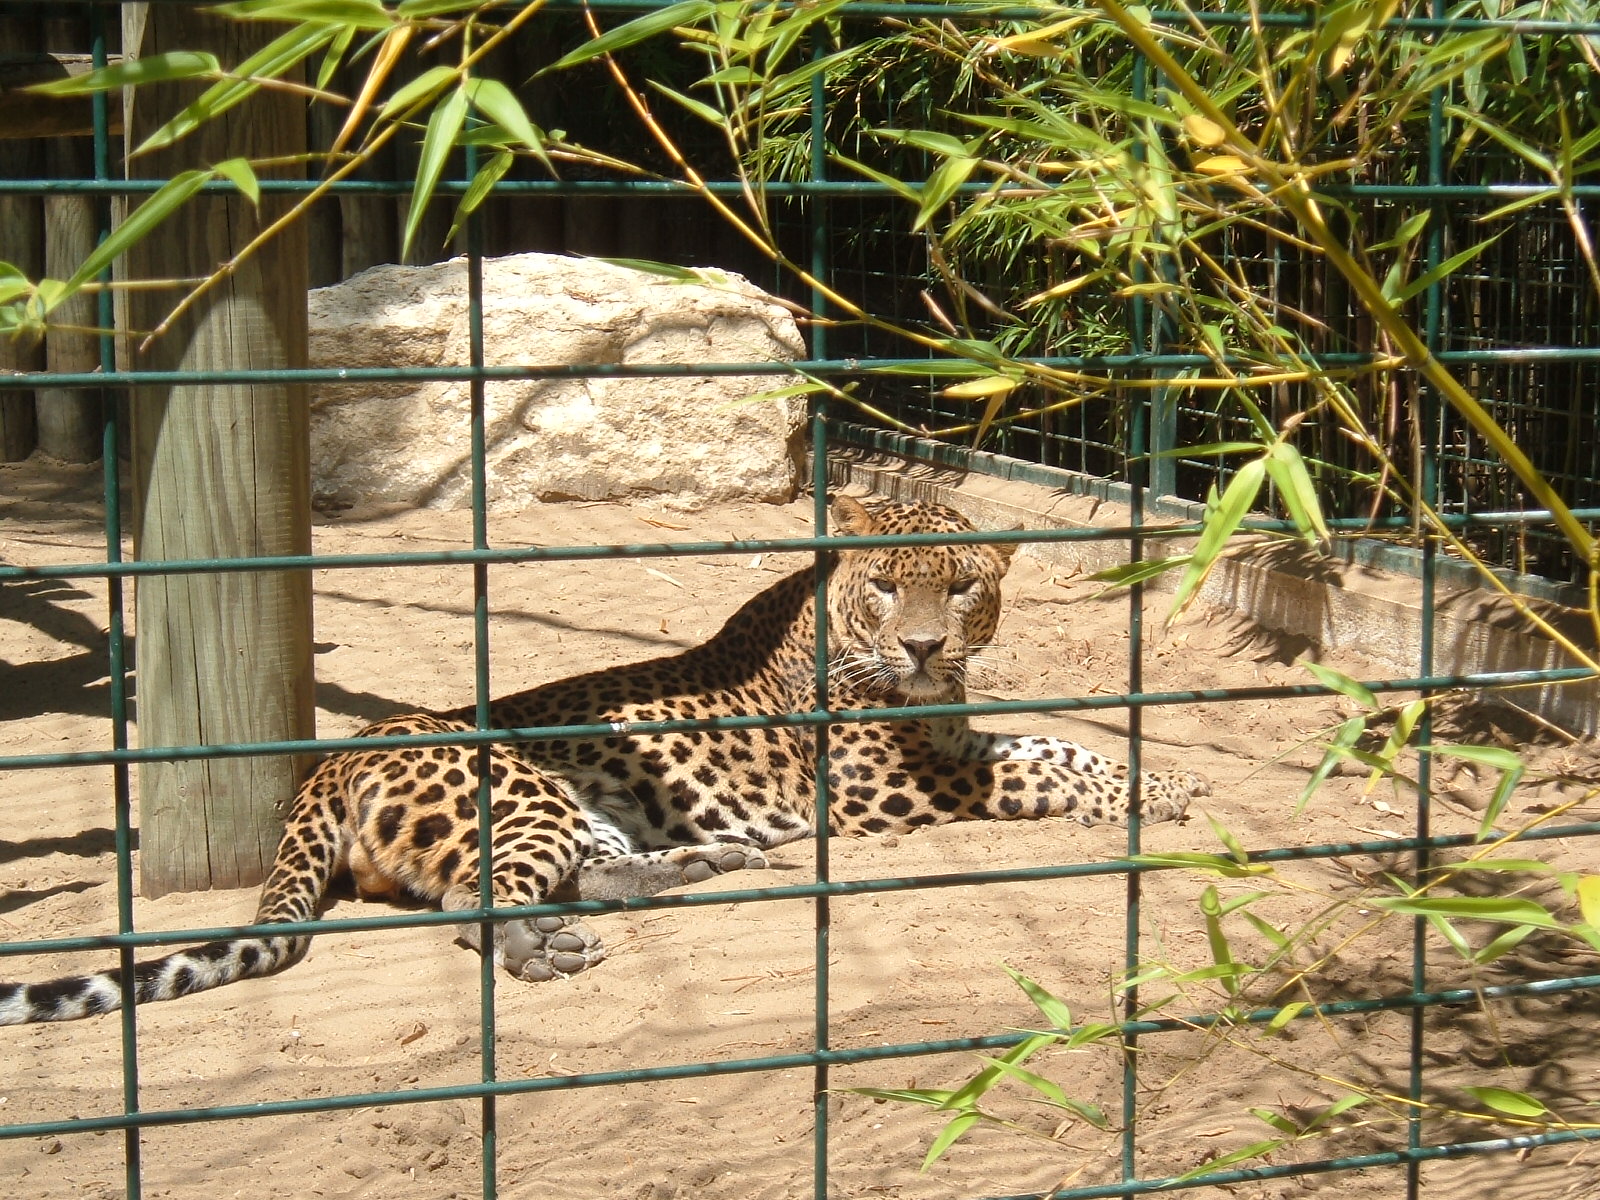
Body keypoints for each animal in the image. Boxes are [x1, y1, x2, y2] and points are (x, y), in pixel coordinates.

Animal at [0, 499, 1203, 1024]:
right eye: (886, 589)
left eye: (960, 588)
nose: (921, 647)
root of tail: (332, 762)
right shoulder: (893, 783)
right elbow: (1047, 762)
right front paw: (1156, 789)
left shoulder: (946, 744)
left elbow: (1057, 740)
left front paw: (1172, 780)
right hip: (518, 791)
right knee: (476, 899)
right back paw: (547, 949)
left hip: (582, 804)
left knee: (591, 869)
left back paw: (714, 864)